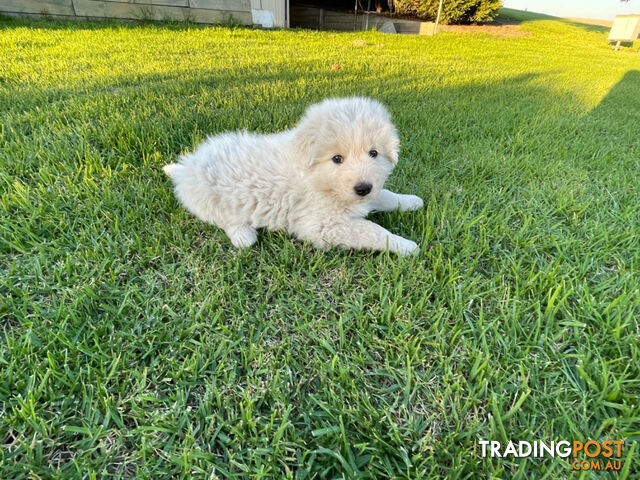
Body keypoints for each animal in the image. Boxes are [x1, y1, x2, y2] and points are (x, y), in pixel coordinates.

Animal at [165, 97, 422, 255]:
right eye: (337, 158)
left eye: (373, 153)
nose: (363, 188)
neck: (318, 180)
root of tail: (187, 166)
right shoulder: (322, 226)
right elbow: (371, 230)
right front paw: (405, 245)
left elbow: (386, 195)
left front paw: (411, 201)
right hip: (211, 199)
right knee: (223, 219)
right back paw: (243, 235)